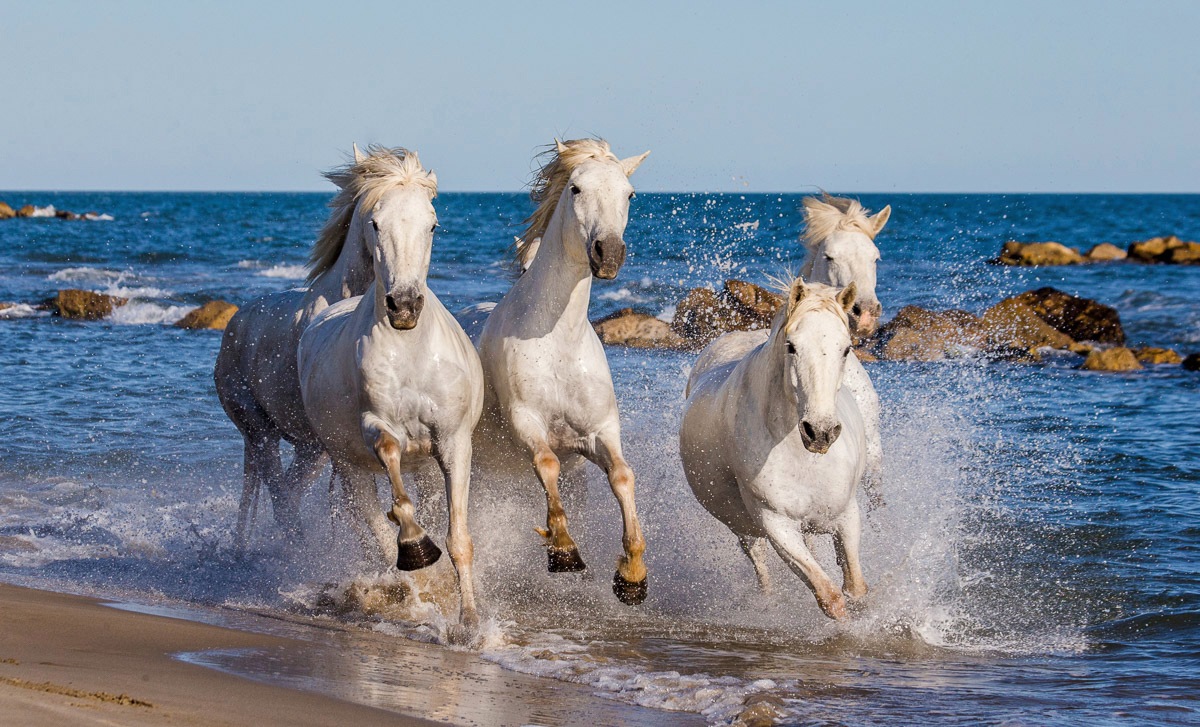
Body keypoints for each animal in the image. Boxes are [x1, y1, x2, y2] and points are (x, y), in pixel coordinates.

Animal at [213, 145, 384, 549]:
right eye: (374, 220)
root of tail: (235, 322)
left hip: (308, 447)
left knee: (287, 493)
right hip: (260, 430)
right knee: (281, 496)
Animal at [472, 139, 652, 607]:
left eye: (630, 194)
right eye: (575, 188)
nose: (609, 253)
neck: (557, 342)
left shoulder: (598, 433)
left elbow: (623, 476)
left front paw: (632, 574)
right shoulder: (526, 423)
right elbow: (546, 462)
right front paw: (563, 550)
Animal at [681, 279, 868, 619]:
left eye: (846, 348)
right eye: (792, 346)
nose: (820, 432)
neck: (804, 457)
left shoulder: (847, 515)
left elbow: (855, 589)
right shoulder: (777, 524)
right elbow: (830, 597)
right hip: (746, 528)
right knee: (760, 562)